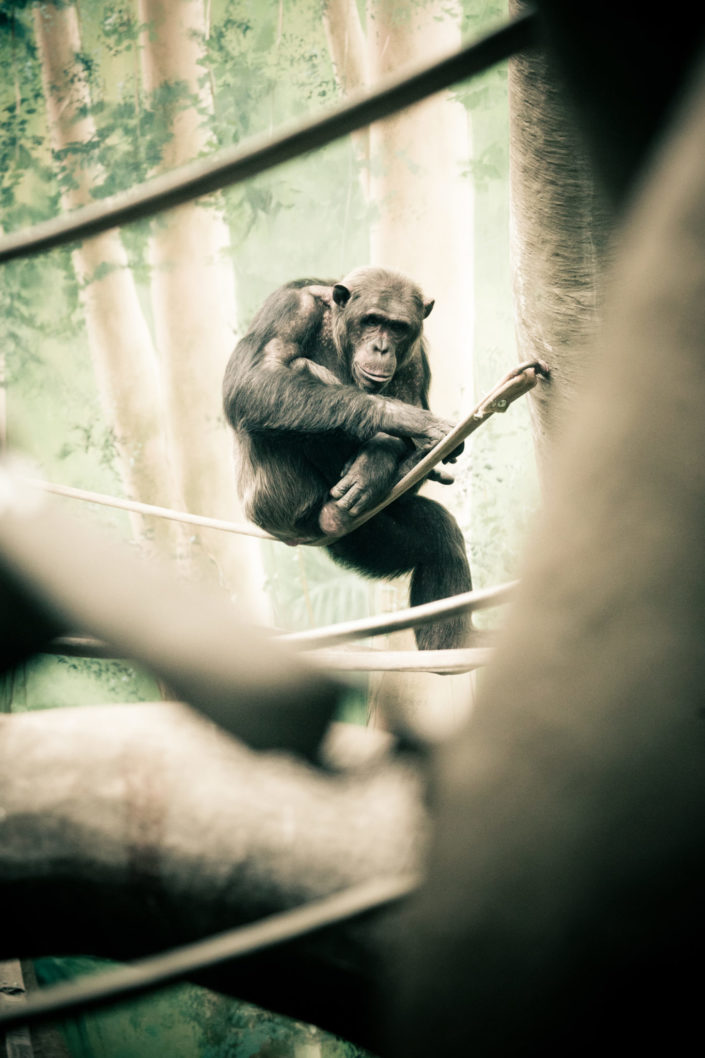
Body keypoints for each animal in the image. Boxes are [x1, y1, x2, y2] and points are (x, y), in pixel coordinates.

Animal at [222, 264, 470, 647]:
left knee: (440, 540)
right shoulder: (290, 307)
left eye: (397, 327)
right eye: (372, 320)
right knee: (299, 369)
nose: (381, 347)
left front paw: (375, 461)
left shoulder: (414, 355)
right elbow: (255, 378)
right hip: (277, 502)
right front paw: (401, 420)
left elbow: (412, 395)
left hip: (367, 537)